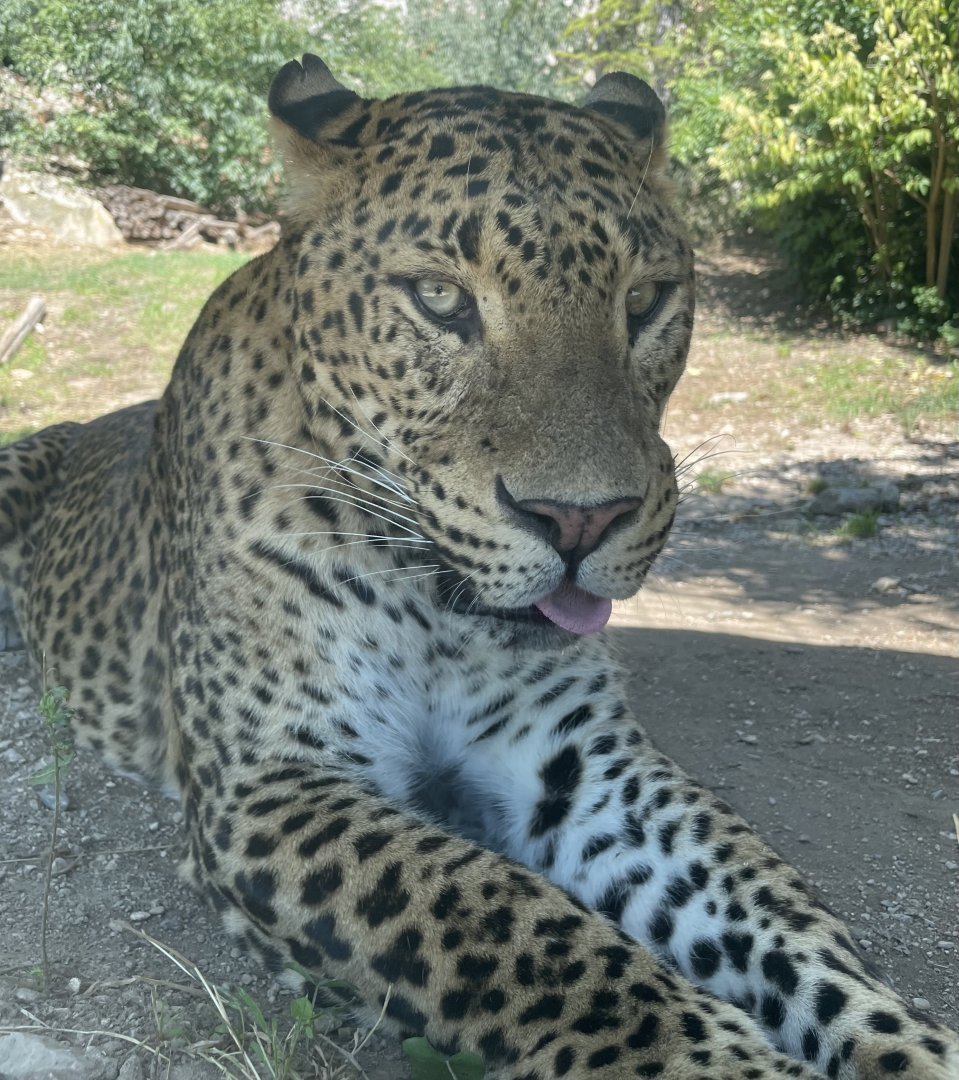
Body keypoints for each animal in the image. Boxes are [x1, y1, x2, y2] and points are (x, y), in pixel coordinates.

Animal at [0, 54, 956, 1080]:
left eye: (644, 300)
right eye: (440, 298)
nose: (582, 519)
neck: (431, 607)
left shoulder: (575, 757)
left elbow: (781, 915)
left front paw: (906, 1045)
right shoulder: (272, 779)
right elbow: (529, 935)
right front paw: (732, 1066)